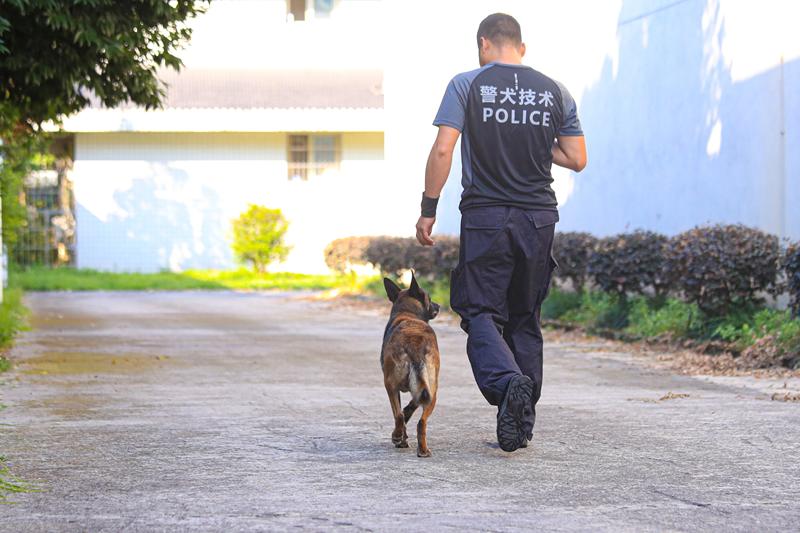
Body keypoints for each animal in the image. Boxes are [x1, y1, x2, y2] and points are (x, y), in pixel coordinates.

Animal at [380, 272, 440, 456]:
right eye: (429, 298)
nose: (439, 305)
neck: (407, 313)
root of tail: (415, 345)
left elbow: (400, 412)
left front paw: (401, 439)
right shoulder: (422, 388)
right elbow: (411, 405)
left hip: (389, 385)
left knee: (398, 416)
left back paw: (397, 436)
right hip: (433, 391)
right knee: (422, 422)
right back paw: (423, 450)